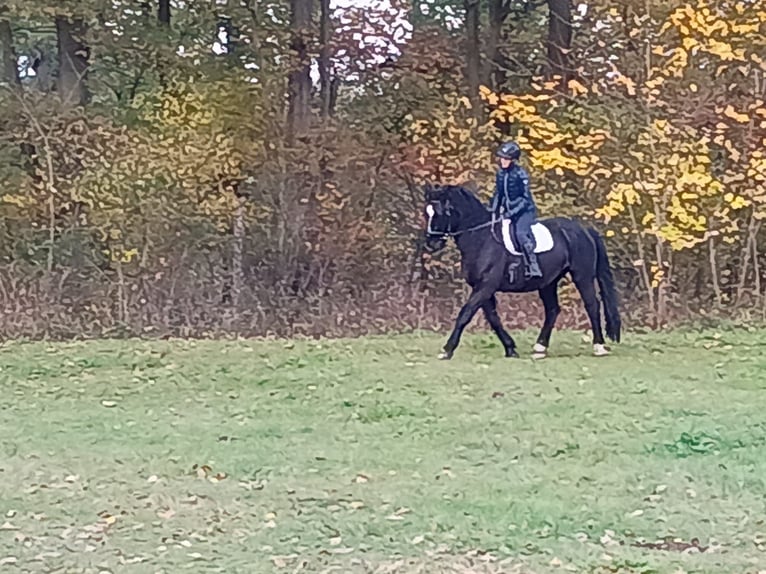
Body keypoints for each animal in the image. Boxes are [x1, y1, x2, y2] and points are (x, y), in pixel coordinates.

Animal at [422, 183, 621, 360]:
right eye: (428, 212)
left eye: (442, 211)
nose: (432, 243)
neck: (481, 239)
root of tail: (584, 229)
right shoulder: (482, 288)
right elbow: (493, 318)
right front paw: (510, 348)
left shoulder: (486, 286)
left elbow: (465, 314)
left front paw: (447, 350)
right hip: (548, 282)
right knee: (552, 310)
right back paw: (540, 348)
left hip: (582, 276)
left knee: (592, 305)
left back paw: (598, 346)